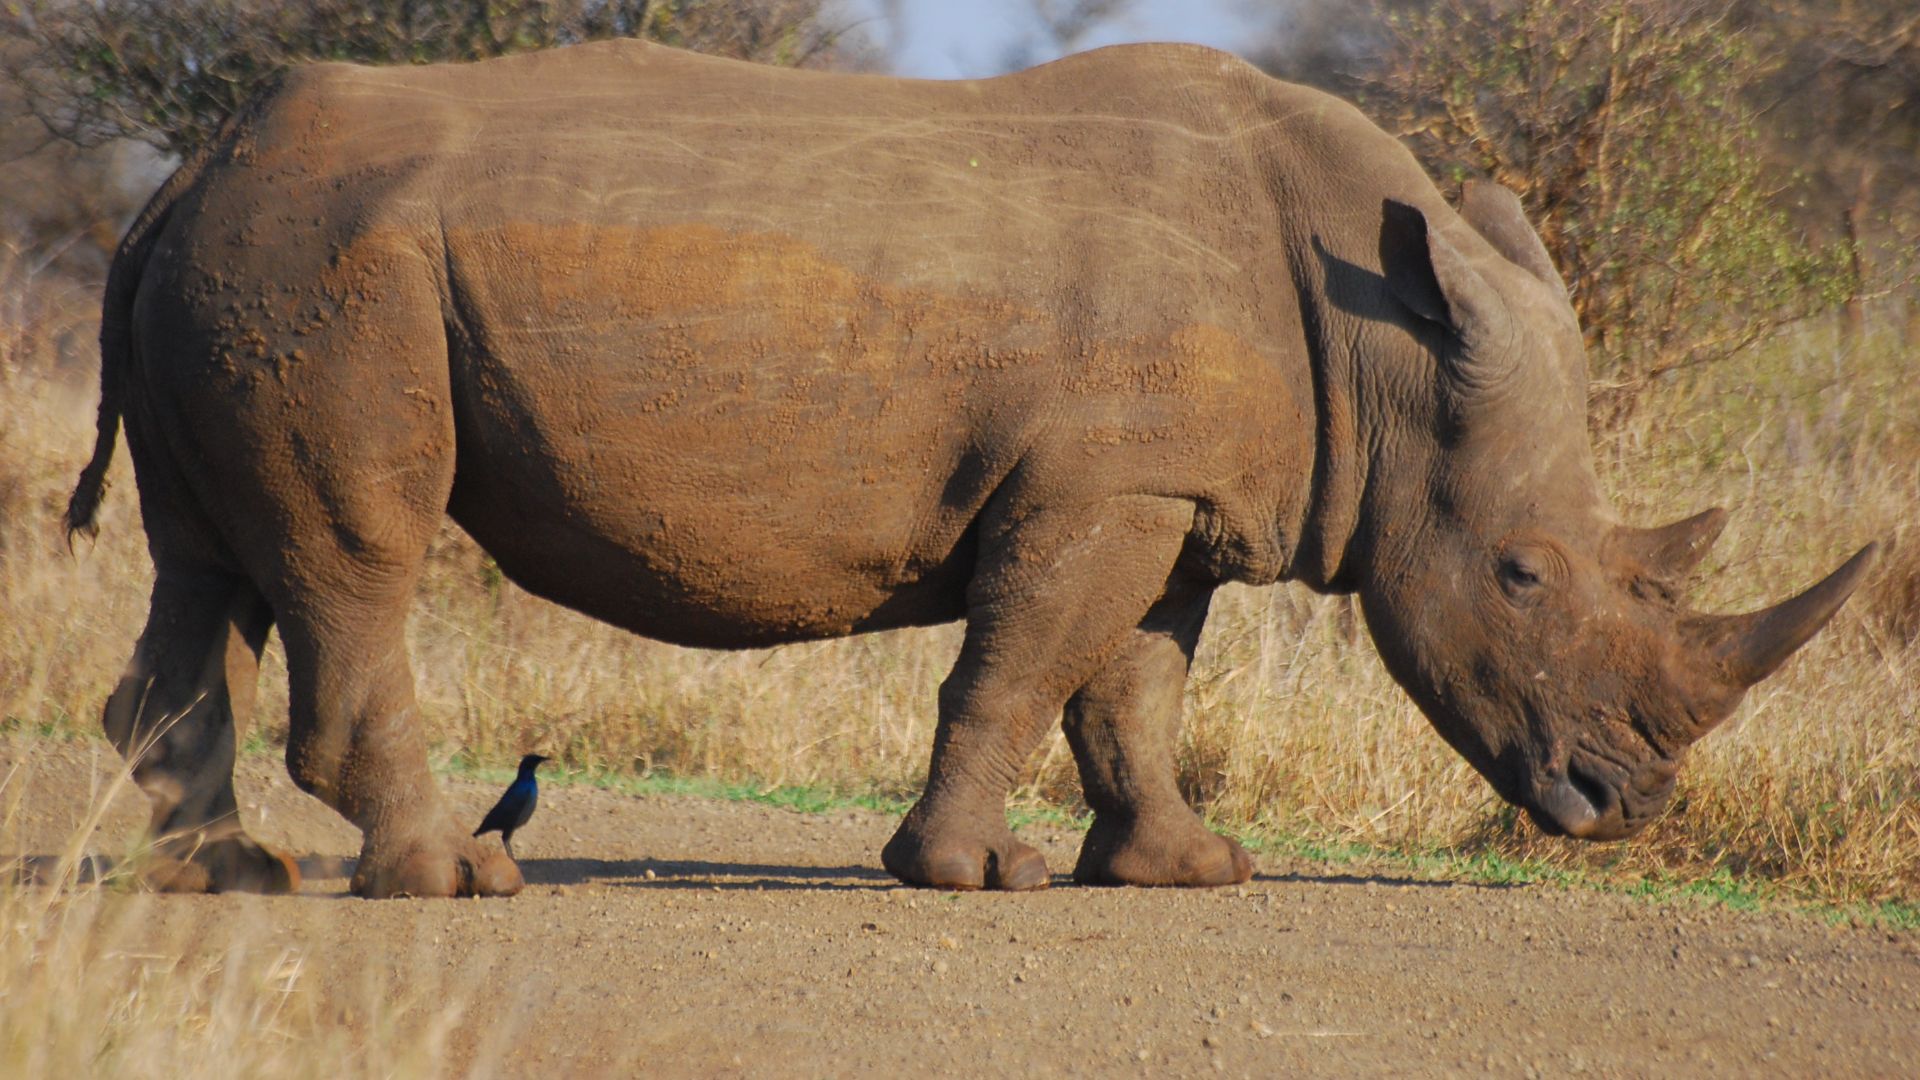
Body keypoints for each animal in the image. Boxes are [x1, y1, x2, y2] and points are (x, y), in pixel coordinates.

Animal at [67, 40, 1873, 898]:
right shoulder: (1104, 491)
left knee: (203, 565)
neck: (1389, 347)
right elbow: (1020, 671)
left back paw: (225, 878)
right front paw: (958, 875)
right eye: (1520, 575)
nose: (1628, 811)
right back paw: (455, 882)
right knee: (355, 560)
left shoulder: (1170, 496)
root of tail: (186, 173)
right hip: (329, 271)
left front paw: (1181, 871)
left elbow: (1130, 692)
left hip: (245, 265)